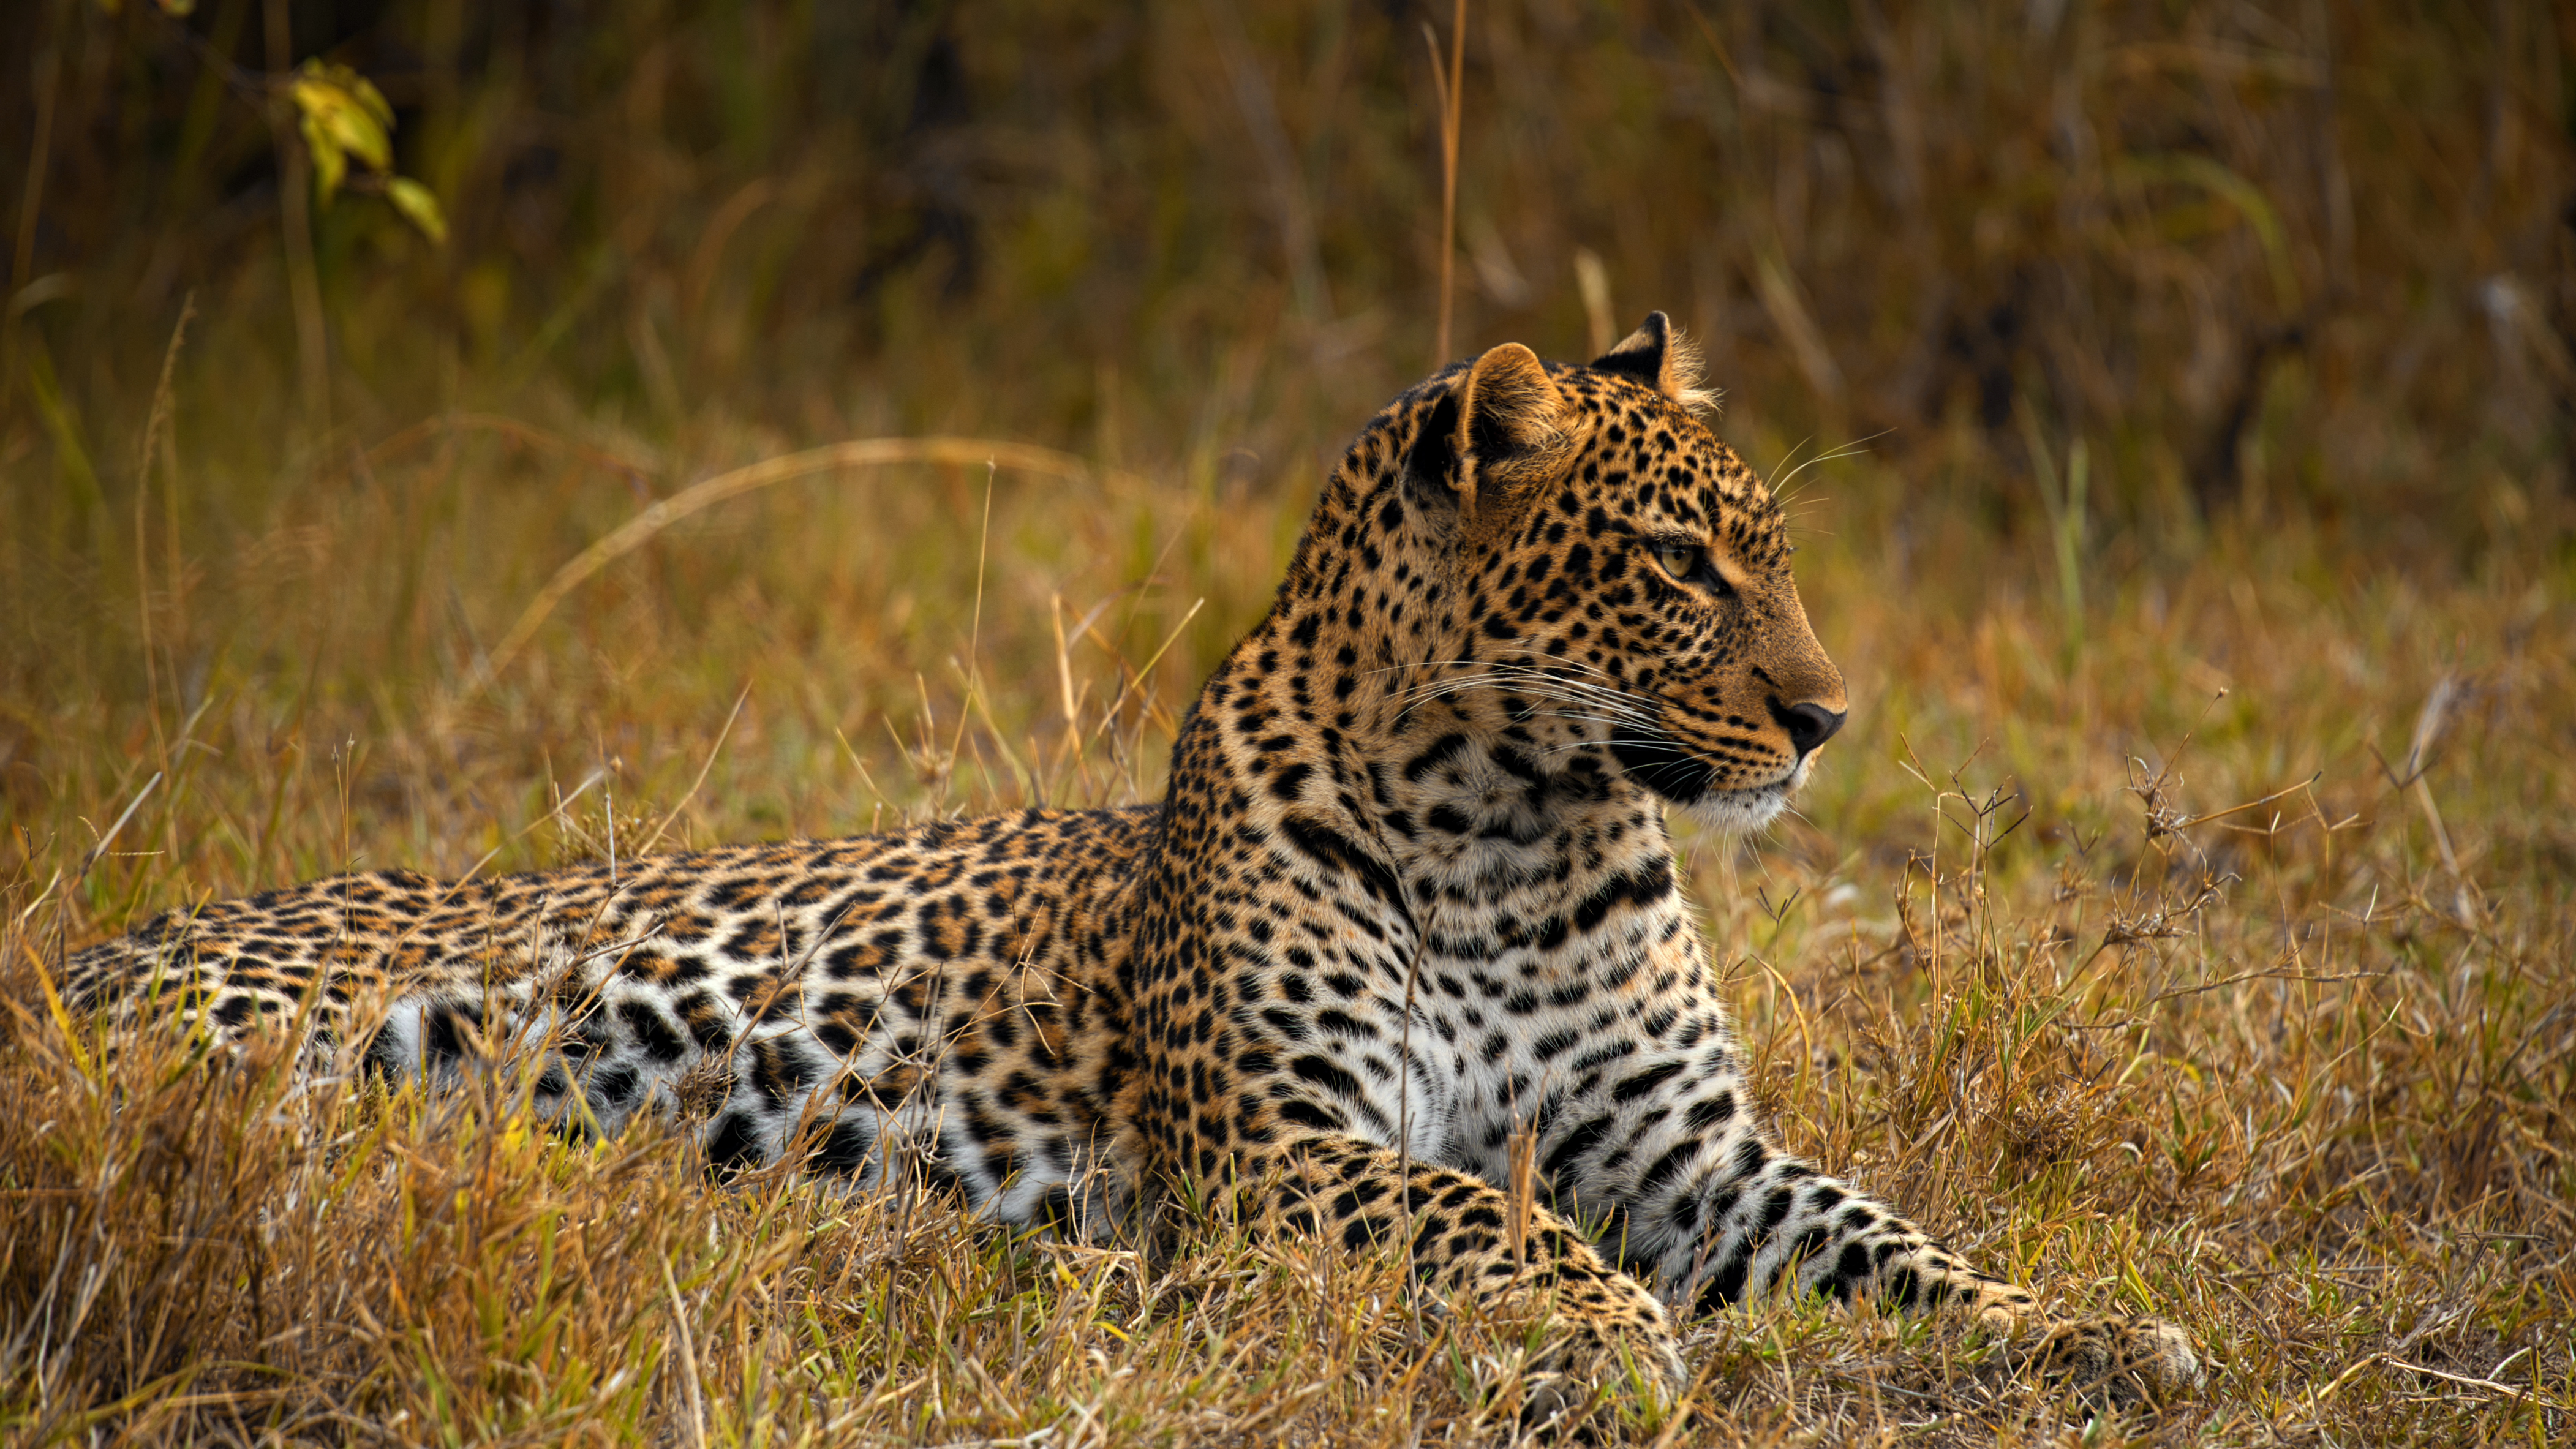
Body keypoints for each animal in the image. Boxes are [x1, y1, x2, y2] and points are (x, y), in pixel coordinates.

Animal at [56, 314, 2202, 1426]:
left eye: (1769, 552)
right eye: (1682, 564)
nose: (1830, 717)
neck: (1522, 816)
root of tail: (86, 946)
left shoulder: (1686, 1148)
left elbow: (1892, 1238)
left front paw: (2089, 1330)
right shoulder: (1269, 1139)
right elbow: (1483, 1212)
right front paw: (1609, 1335)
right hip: (283, 1050)